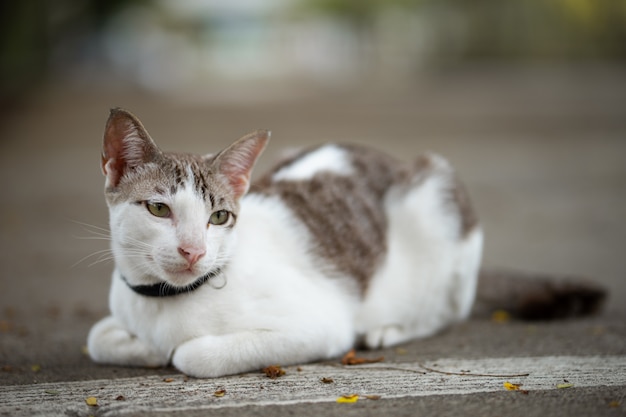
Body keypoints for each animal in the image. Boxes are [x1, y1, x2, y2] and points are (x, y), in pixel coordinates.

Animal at [86, 107, 600, 376]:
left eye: (219, 217)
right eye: (159, 210)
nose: (194, 251)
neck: (164, 303)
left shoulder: (320, 324)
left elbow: (193, 354)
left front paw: (170, 350)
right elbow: (98, 337)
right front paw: (142, 346)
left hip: (437, 199)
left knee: (445, 311)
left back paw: (387, 328)